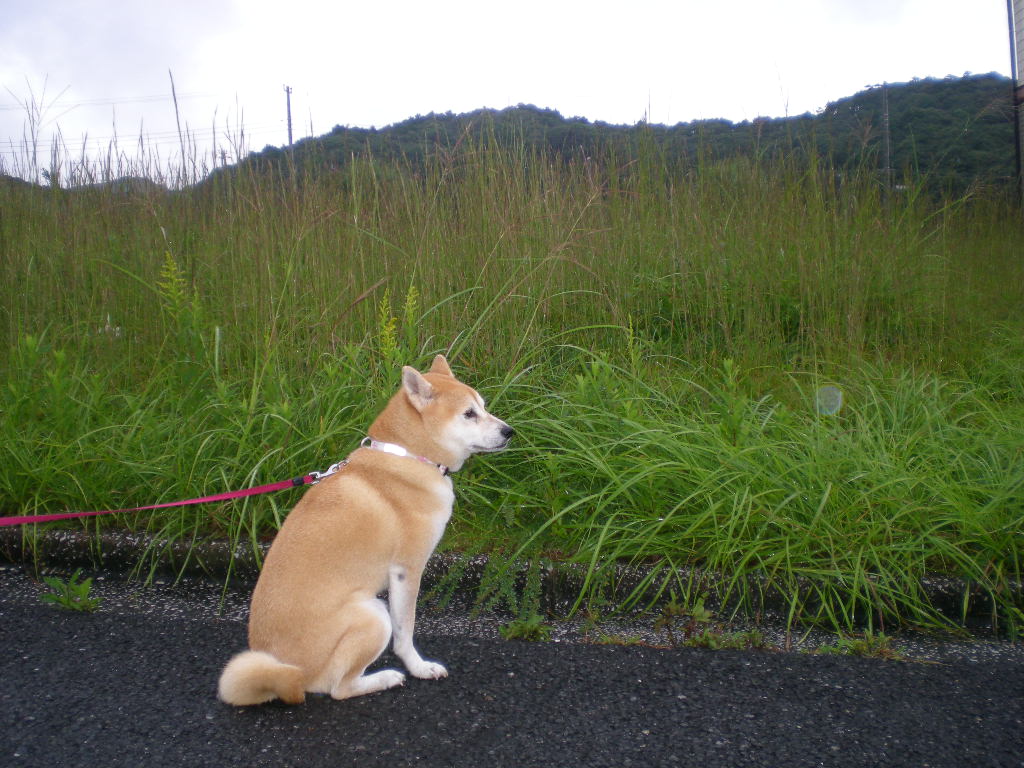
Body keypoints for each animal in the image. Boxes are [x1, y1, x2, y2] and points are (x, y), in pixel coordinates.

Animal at [221, 358, 516, 708]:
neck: (408, 455)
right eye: (469, 413)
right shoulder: (406, 570)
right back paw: (385, 678)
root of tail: (286, 676)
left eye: (483, 406)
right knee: (339, 688)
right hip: (374, 615)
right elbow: (406, 631)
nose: (509, 431)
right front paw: (419, 667)